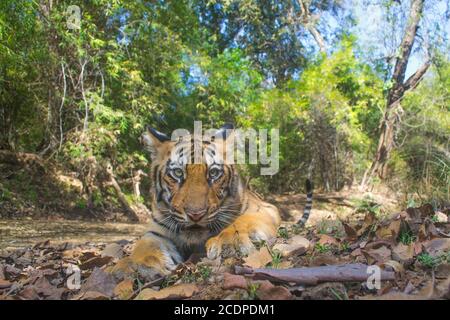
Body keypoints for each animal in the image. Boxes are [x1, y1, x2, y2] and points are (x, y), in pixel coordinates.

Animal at [110, 124, 312, 278]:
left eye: (214, 173)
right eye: (177, 173)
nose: (195, 214)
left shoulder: (262, 209)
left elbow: (242, 221)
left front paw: (231, 242)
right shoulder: (156, 228)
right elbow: (145, 243)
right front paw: (141, 264)